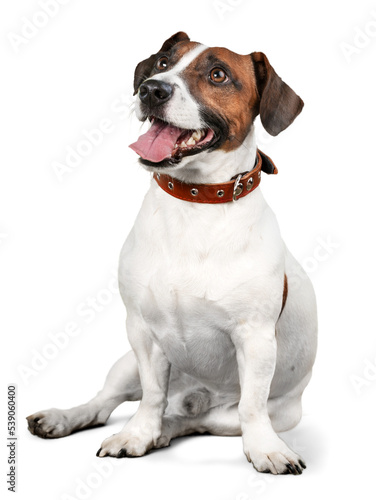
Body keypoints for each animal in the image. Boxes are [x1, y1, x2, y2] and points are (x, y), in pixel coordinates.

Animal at [27, 32, 318, 476]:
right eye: (163, 62)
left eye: (218, 75)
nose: (152, 89)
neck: (196, 201)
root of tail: (195, 395)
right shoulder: (141, 332)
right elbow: (151, 395)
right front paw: (136, 434)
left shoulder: (255, 339)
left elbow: (252, 406)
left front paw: (267, 450)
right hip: (125, 364)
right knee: (107, 402)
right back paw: (67, 417)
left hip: (255, 413)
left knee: (195, 419)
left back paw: (168, 430)